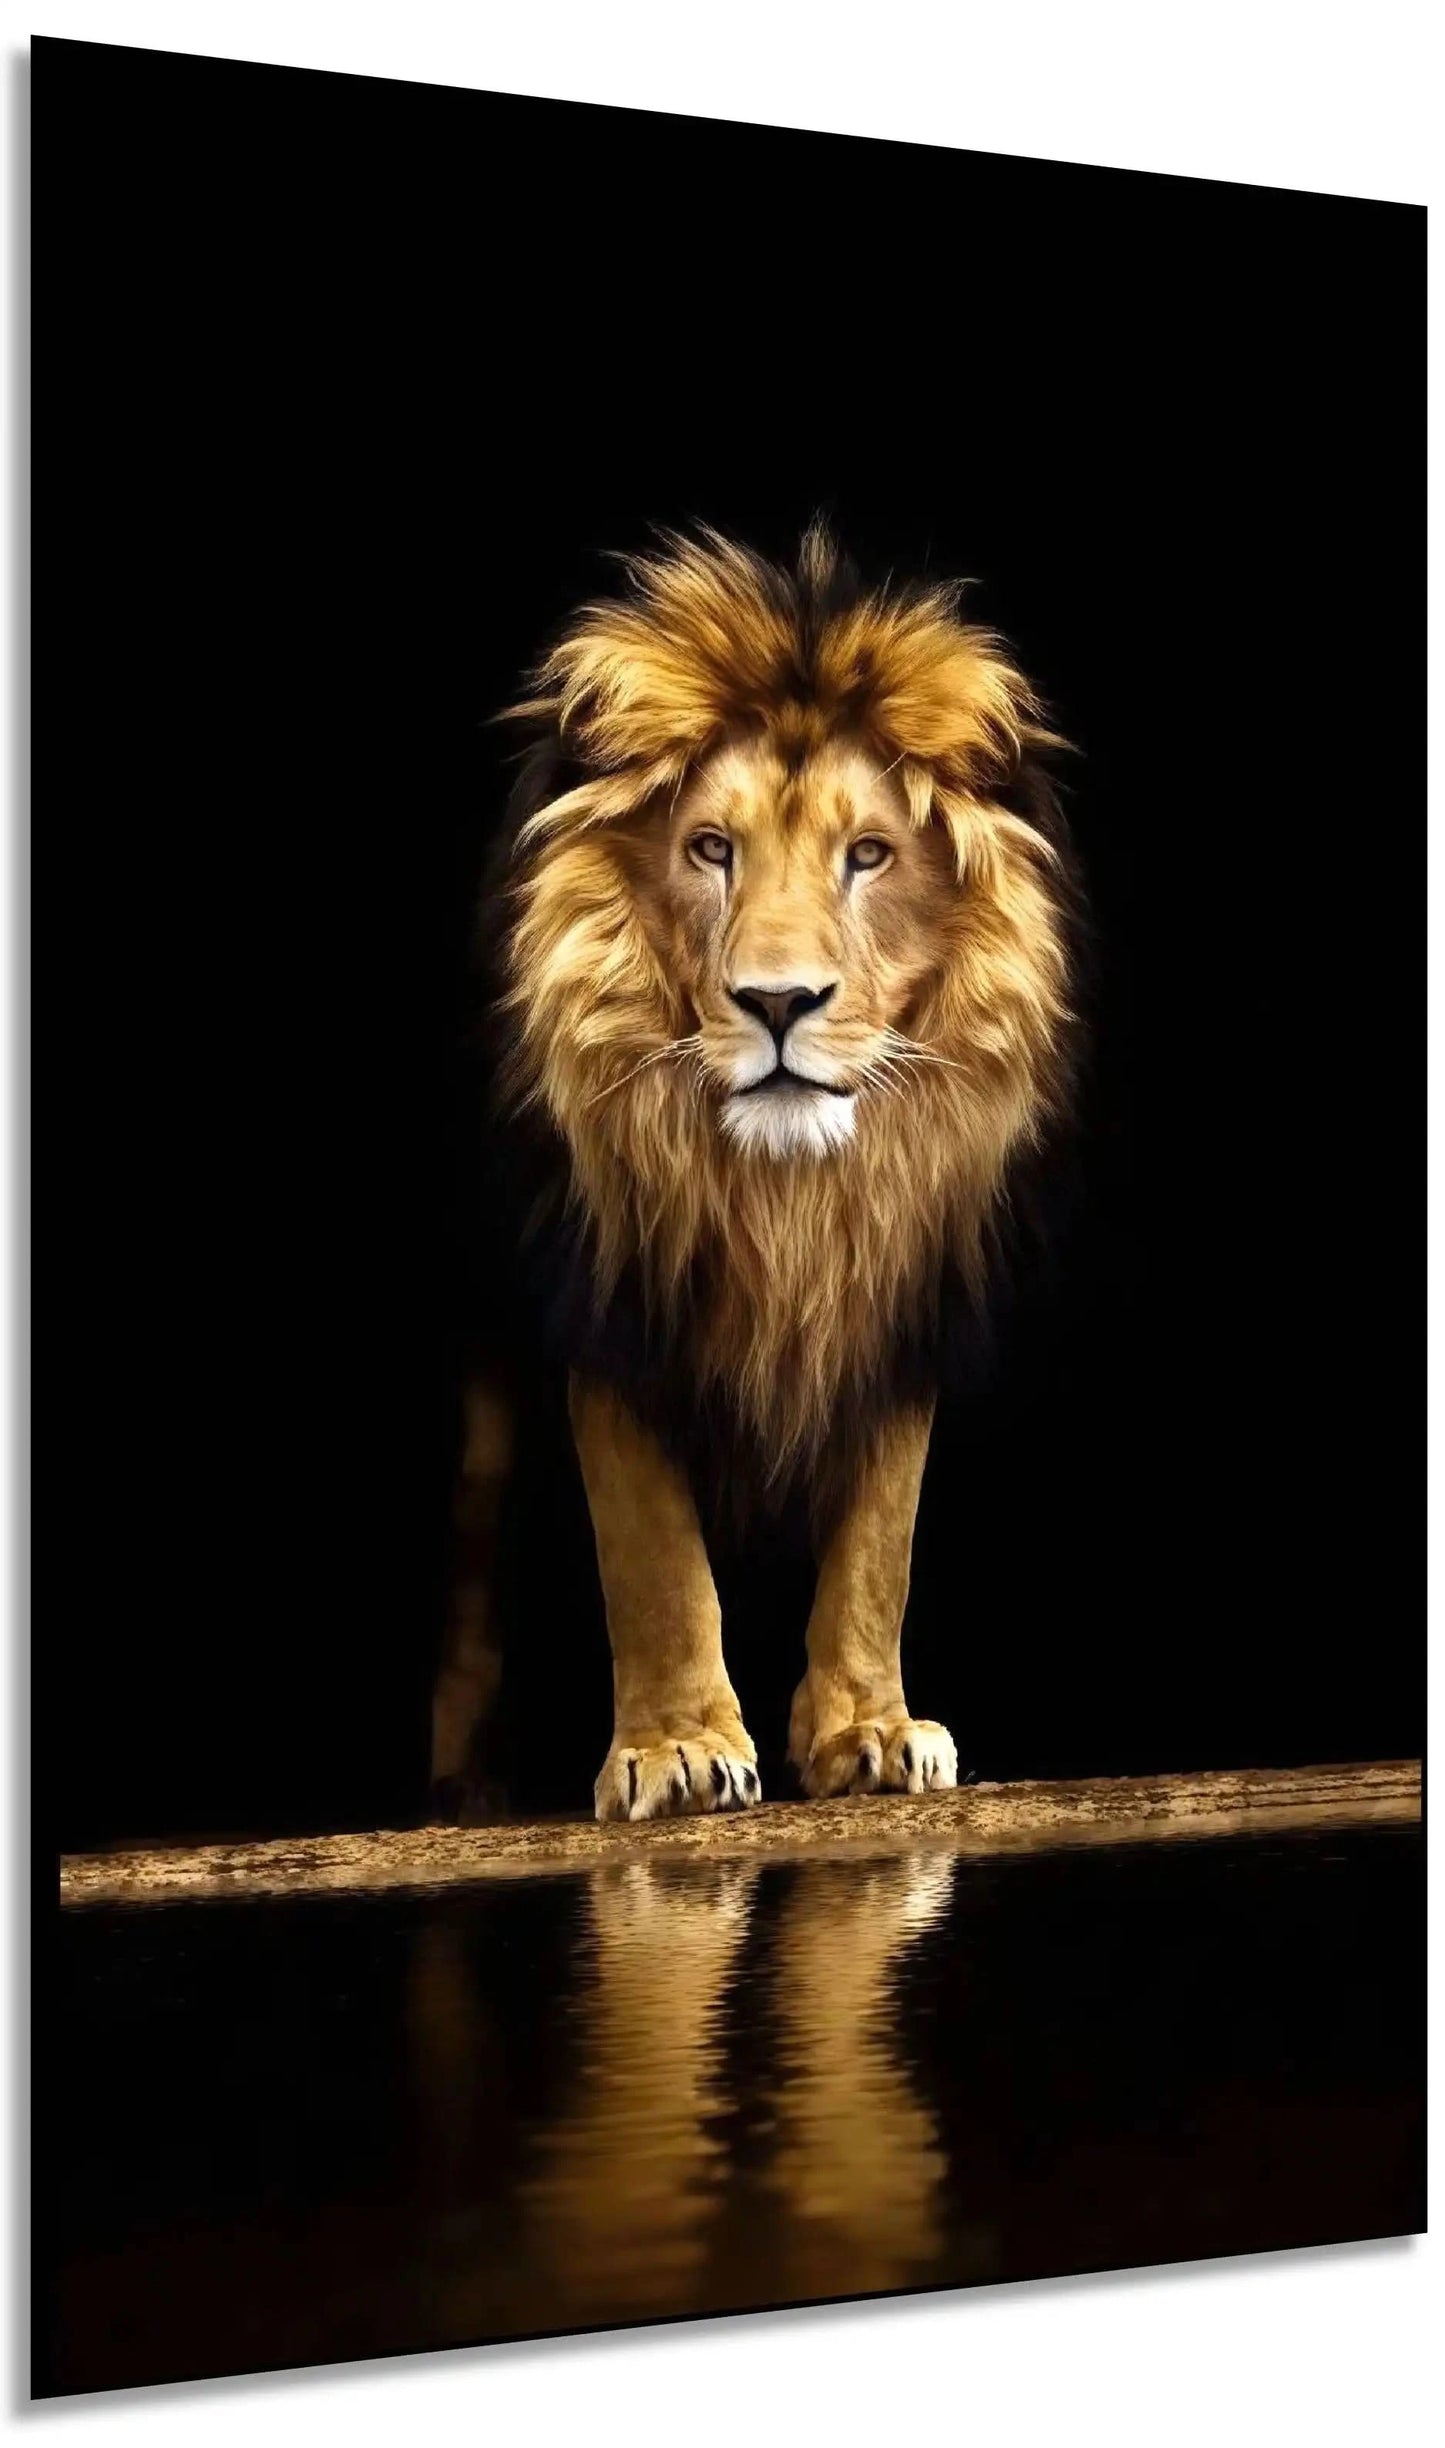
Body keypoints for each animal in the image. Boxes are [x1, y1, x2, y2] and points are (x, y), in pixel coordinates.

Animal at [431, 522, 1077, 1823]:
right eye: (709, 850)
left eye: (867, 856)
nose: (780, 1003)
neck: (788, 1198)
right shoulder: (614, 1297)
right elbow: (650, 1550)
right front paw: (677, 1749)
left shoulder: (897, 1293)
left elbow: (880, 1541)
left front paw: (867, 1733)